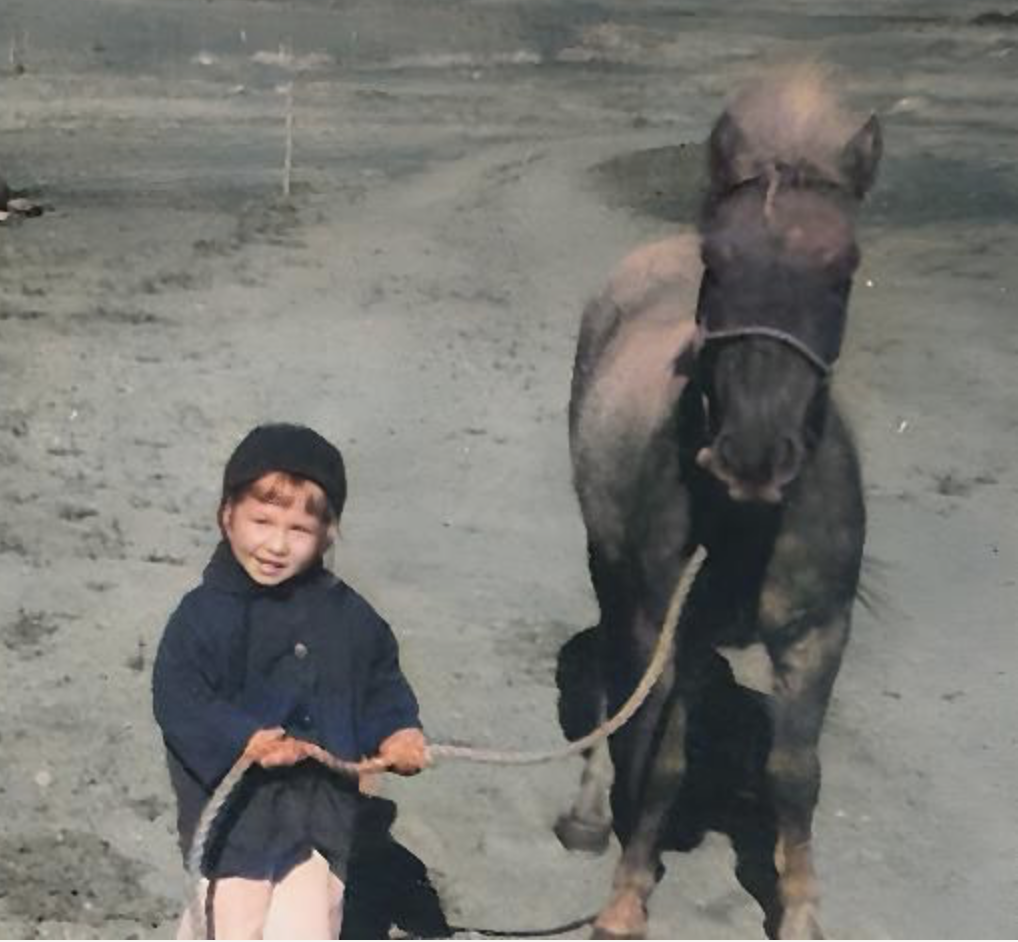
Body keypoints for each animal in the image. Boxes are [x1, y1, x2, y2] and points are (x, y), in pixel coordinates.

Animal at [556, 67, 882, 939]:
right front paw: (627, 894)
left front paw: (800, 908)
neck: (748, 522)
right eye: (720, 262)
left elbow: (797, 771)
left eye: (844, 268)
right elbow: (660, 758)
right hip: (612, 574)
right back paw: (591, 813)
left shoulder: (818, 635)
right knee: (615, 681)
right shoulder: (670, 625)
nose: (753, 456)